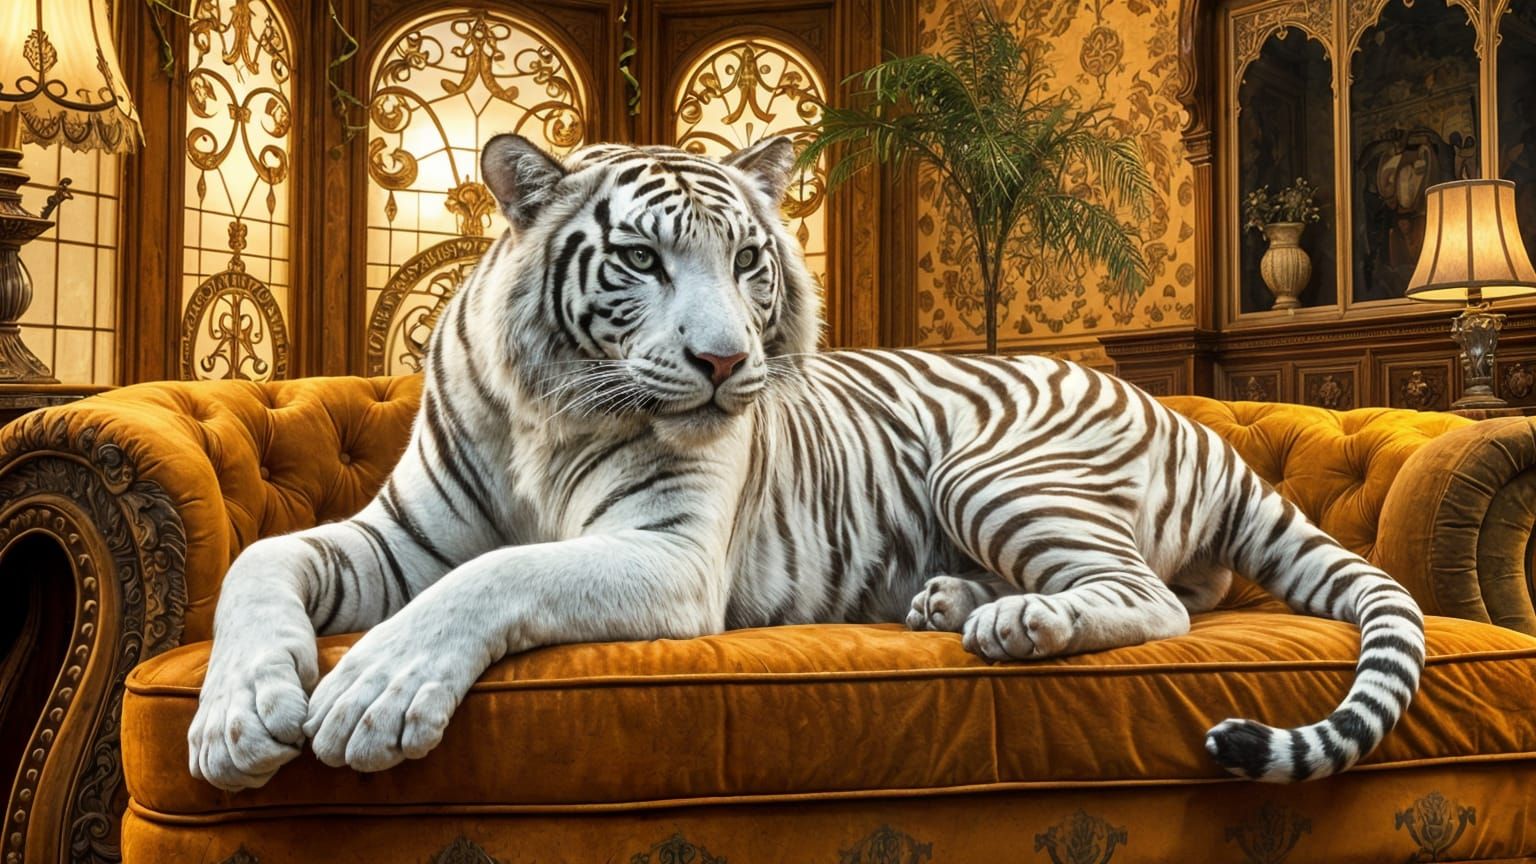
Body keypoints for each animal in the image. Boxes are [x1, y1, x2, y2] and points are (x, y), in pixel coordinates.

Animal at [188, 133, 1425, 793]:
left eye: (746, 260)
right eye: (641, 260)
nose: (727, 361)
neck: (548, 411)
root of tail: (1197, 425)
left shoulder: (668, 557)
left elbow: (497, 575)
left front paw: (376, 692)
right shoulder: (393, 536)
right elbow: (260, 560)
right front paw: (238, 717)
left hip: (992, 468)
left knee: (1155, 603)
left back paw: (1018, 622)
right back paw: (953, 602)